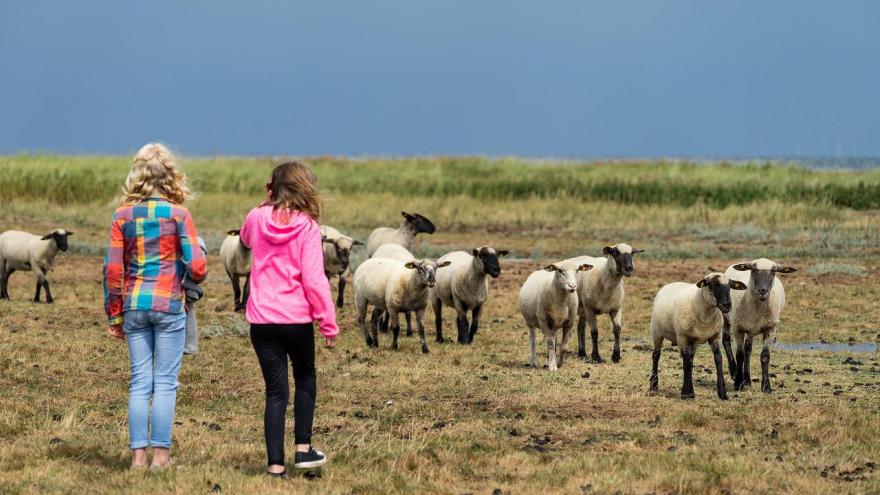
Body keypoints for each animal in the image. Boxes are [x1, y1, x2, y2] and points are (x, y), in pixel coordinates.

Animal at [648, 274, 744, 402]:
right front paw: (685, 394)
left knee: (690, 360)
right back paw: (654, 386)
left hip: (692, 342)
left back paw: (692, 392)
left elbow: (718, 360)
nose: (727, 305)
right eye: (713, 286)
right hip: (657, 332)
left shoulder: (715, 337)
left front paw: (723, 394)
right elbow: (686, 364)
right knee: (656, 356)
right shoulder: (683, 338)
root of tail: (669, 284)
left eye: (730, 286)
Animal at [720, 260, 796, 396]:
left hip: (751, 330)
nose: (763, 291)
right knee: (726, 340)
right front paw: (738, 383)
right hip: (727, 316)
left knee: (748, 349)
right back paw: (734, 372)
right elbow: (740, 355)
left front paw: (766, 387)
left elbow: (765, 356)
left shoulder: (771, 328)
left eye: (773, 271)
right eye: (754, 270)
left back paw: (747, 379)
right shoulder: (738, 328)